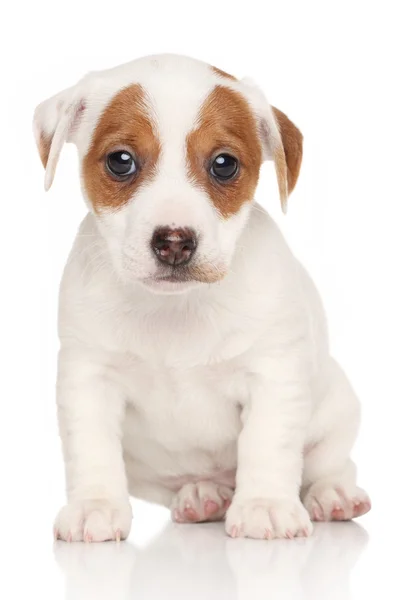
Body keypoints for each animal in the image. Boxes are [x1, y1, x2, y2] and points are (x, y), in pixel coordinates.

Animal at [34, 54, 372, 540]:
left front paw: (265, 504)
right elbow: (91, 447)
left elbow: (267, 443)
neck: (176, 307)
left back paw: (332, 495)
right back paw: (203, 494)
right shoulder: (89, 377)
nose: (174, 241)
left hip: (337, 409)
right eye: (121, 161)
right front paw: (94, 505)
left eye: (224, 164)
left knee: (330, 463)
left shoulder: (273, 376)